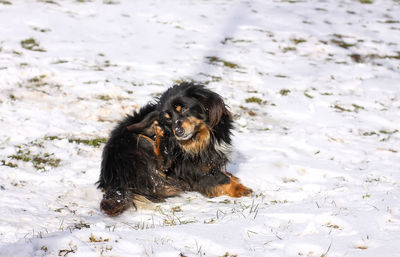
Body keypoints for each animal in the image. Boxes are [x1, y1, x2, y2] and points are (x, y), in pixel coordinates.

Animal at [96, 82, 252, 216]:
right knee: (161, 164)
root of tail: (112, 179)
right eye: (168, 118)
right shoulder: (191, 168)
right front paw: (242, 190)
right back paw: (159, 134)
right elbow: (222, 178)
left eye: (183, 108)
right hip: (140, 144)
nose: (178, 131)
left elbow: (224, 173)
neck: (200, 137)